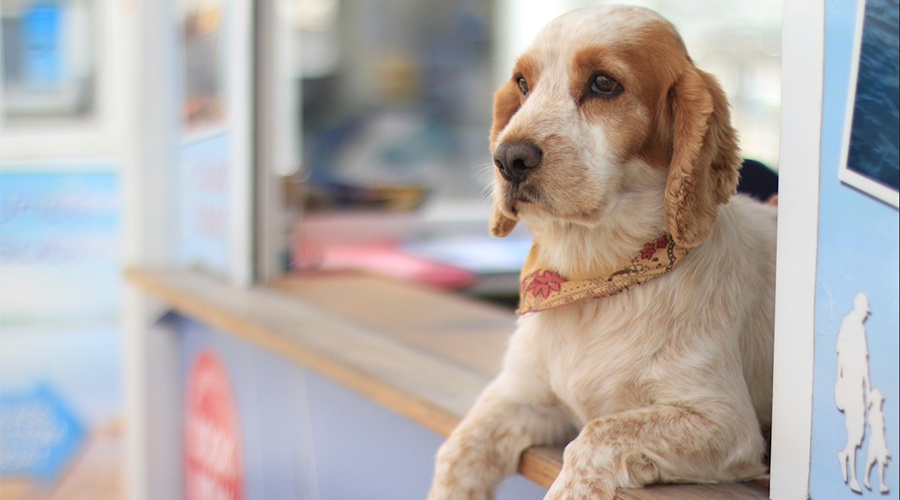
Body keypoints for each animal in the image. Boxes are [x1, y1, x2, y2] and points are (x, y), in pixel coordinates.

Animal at [428, 4, 772, 500]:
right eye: (523, 83)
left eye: (604, 83)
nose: (509, 158)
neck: (595, 278)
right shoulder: (521, 396)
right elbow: (458, 451)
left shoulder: (725, 421)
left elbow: (597, 434)